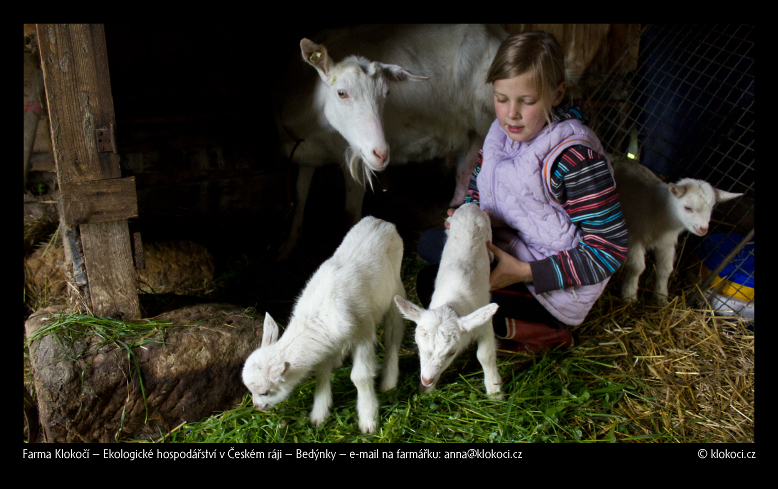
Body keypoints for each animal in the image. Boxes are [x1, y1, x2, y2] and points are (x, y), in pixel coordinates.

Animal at [276, 24, 506, 258]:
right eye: (341, 93)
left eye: (386, 92)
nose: (381, 153)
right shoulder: (308, 153)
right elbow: (300, 196)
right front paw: (288, 245)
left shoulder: (353, 158)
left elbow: (351, 212)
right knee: (467, 164)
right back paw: (456, 205)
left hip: (486, 116)